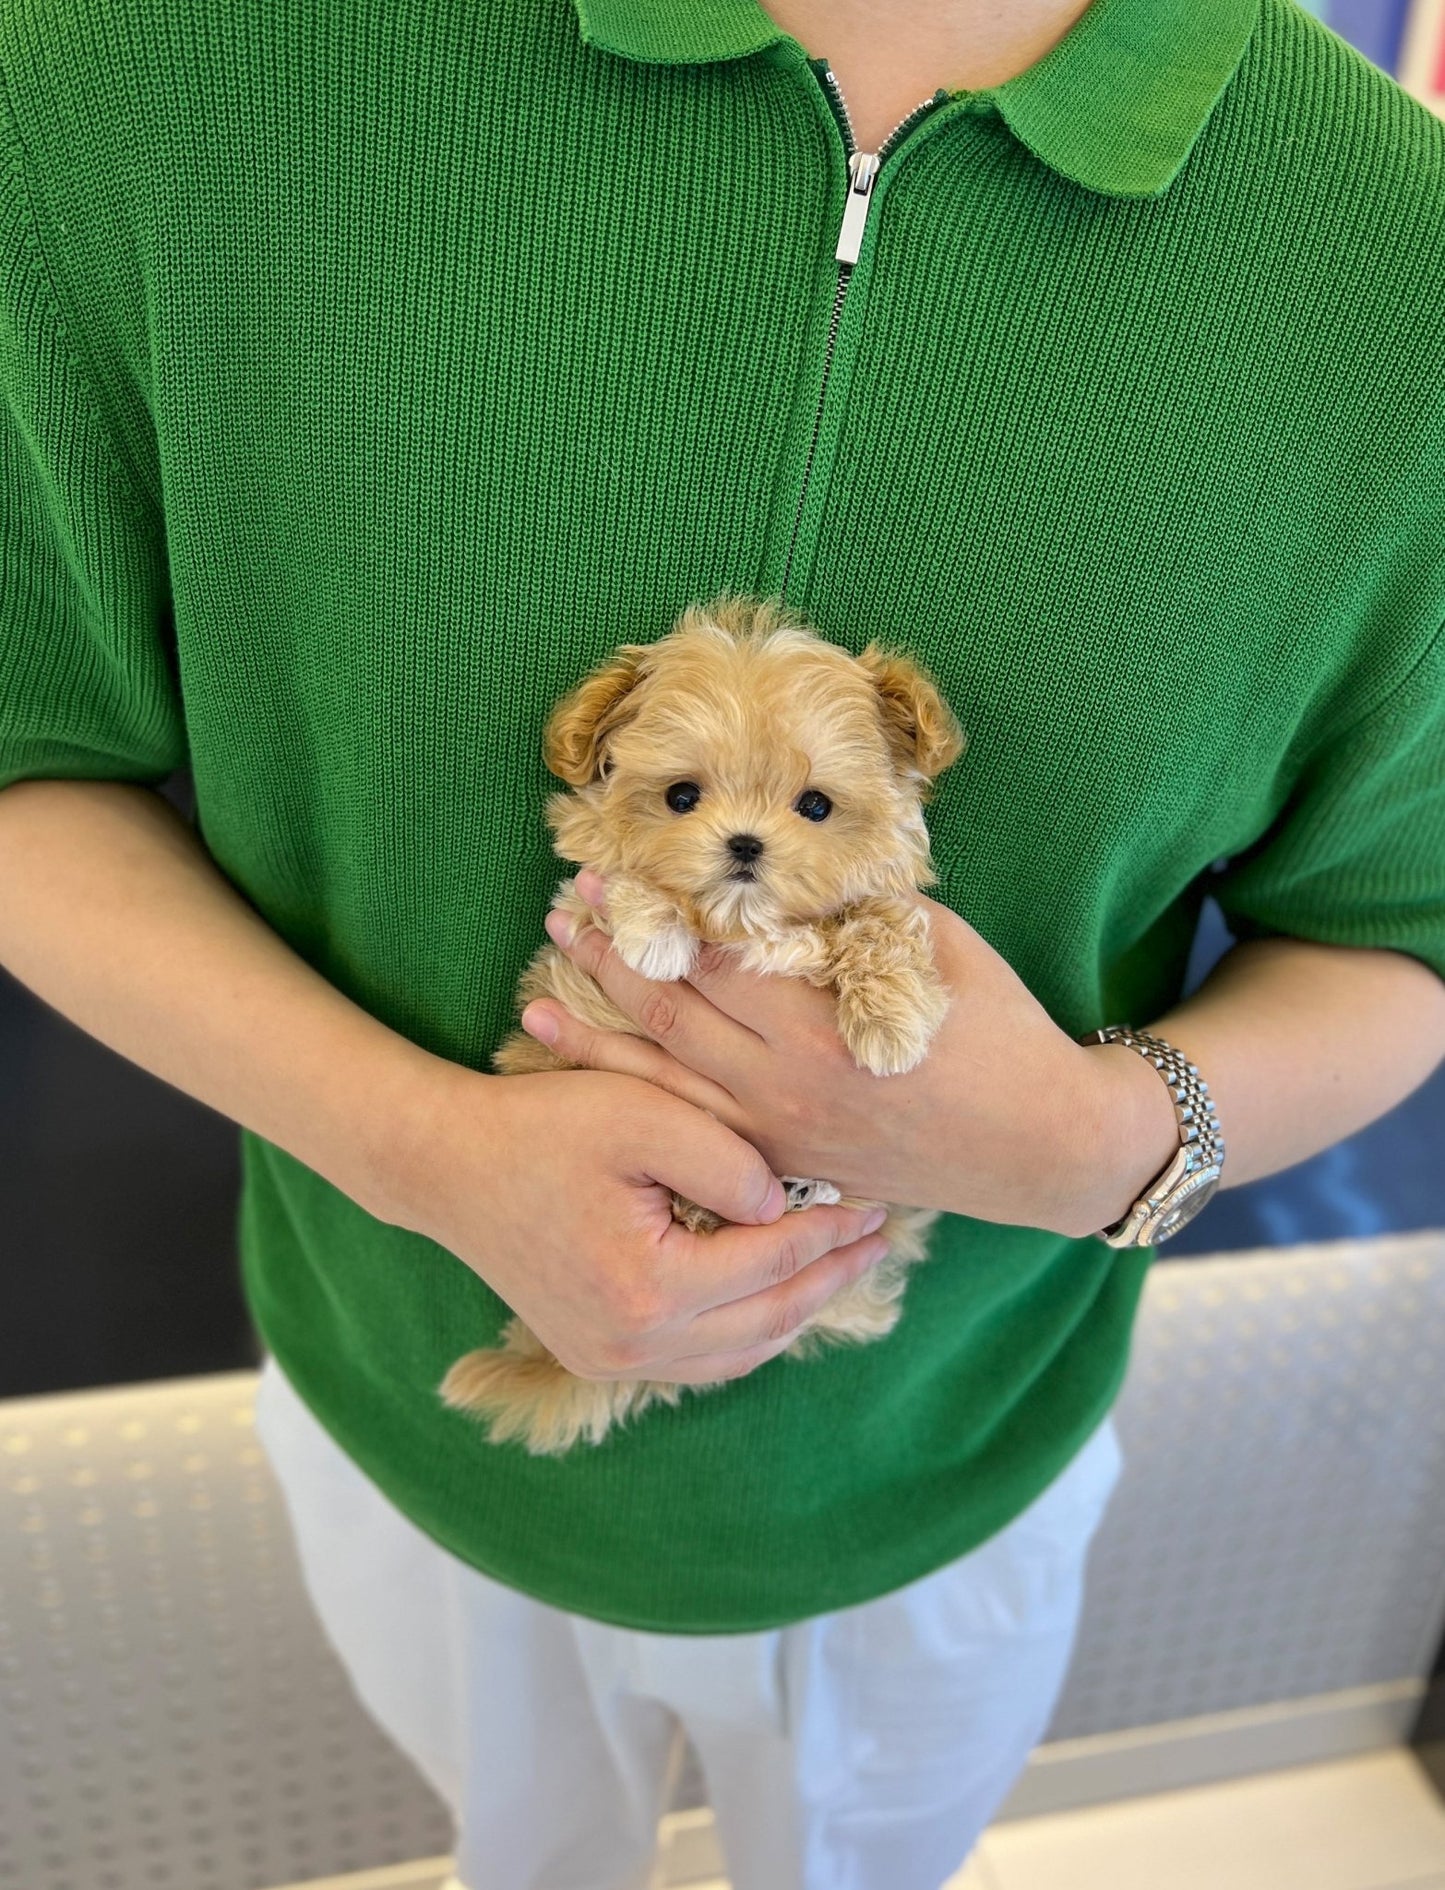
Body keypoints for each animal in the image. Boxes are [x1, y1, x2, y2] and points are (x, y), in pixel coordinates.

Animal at [434, 597, 963, 1451]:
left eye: (815, 805)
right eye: (681, 797)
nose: (743, 843)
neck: (744, 925)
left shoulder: (872, 906)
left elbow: (878, 919)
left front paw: (893, 1019)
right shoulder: (583, 916)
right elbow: (620, 881)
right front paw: (655, 931)